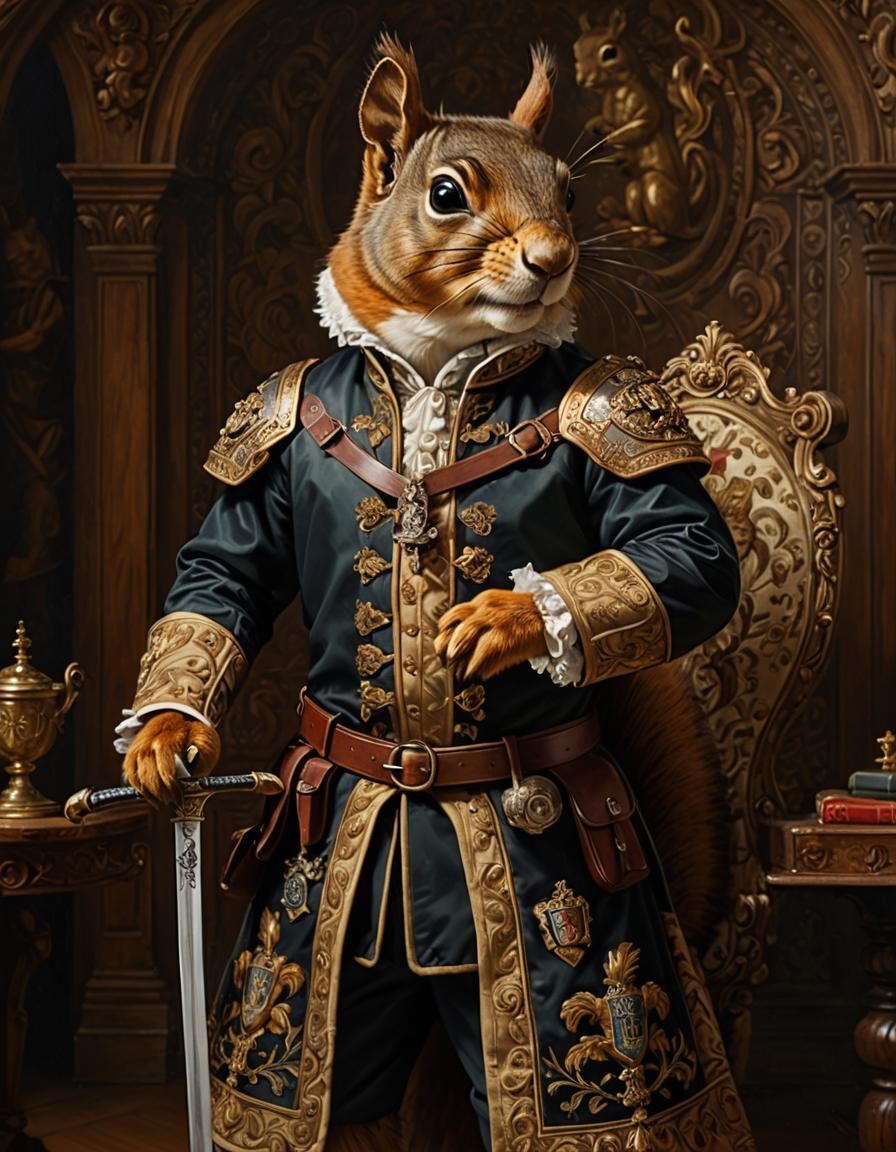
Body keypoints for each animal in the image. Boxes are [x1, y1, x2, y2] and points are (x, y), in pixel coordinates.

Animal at [124, 37, 580, 799]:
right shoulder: (273, 427)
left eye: (568, 191)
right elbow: (225, 570)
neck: (433, 362)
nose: (555, 258)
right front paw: (167, 732)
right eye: (446, 195)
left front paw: (505, 619)